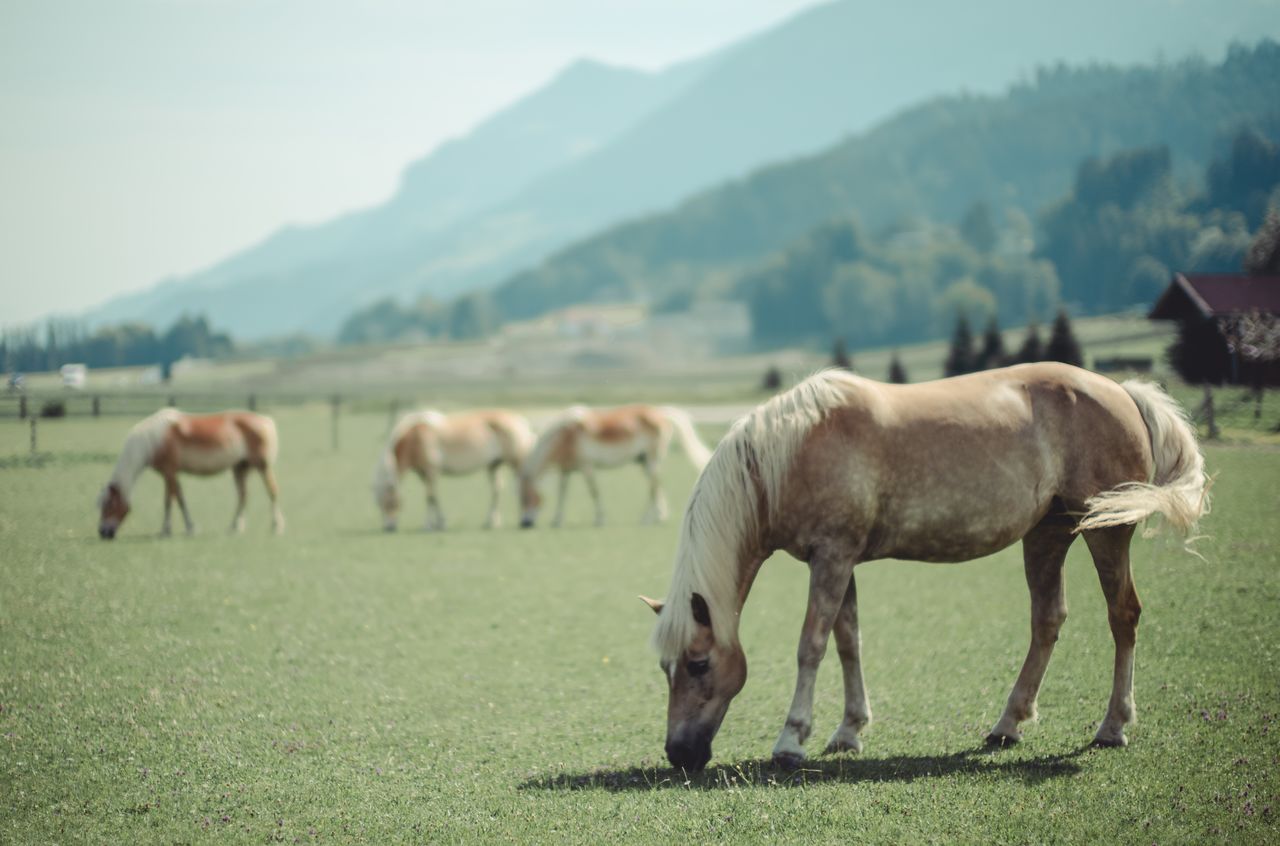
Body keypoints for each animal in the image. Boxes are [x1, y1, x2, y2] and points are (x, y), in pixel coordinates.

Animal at [97, 408, 283, 539]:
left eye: (109, 505)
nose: (103, 533)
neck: (153, 440)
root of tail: (265, 420)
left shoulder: (169, 472)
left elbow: (169, 501)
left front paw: (167, 530)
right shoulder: (171, 474)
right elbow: (179, 498)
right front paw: (188, 527)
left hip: (263, 466)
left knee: (272, 492)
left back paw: (276, 526)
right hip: (240, 468)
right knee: (243, 496)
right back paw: (235, 526)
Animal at [373, 409, 535, 531]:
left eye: (389, 502)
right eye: (378, 504)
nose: (389, 527)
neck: (414, 438)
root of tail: (520, 420)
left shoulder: (431, 470)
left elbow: (429, 497)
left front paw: (428, 525)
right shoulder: (423, 474)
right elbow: (435, 496)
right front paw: (439, 523)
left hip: (516, 462)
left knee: (523, 485)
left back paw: (523, 518)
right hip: (494, 464)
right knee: (497, 489)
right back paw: (491, 522)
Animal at [519, 404, 713, 528]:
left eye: (526, 498)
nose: (525, 523)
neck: (566, 434)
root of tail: (659, 413)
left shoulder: (587, 467)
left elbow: (594, 492)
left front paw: (599, 519)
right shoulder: (566, 470)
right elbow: (562, 493)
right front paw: (557, 520)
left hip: (651, 460)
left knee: (653, 486)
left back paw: (647, 518)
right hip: (644, 461)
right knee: (657, 485)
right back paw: (659, 516)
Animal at [643, 363, 1209, 772]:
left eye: (698, 664)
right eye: (664, 668)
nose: (679, 754)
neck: (792, 451)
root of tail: (1123, 392)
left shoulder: (831, 557)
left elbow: (812, 646)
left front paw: (791, 739)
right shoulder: (840, 562)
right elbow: (848, 642)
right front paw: (849, 731)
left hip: (1105, 531)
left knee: (1123, 616)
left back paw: (1113, 726)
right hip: (1047, 535)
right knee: (1047, 621)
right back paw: (1008, 725)